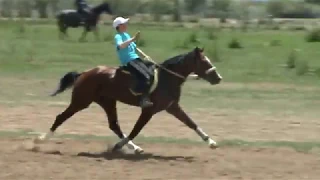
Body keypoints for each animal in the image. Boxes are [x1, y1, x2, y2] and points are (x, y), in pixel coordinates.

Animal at [33, 46, 222, 153]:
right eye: (204, 62)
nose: (218, 78)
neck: (166, 79)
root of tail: (84, 73)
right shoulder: (149, 110)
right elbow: (136, 130)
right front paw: (118, 146)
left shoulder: (172, 107)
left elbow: (191, 123)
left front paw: (211, 142)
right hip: (81, 101)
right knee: (61, 117)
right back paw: (39, 141)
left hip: (107, 102)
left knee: (114, 125)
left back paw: (135, 147)